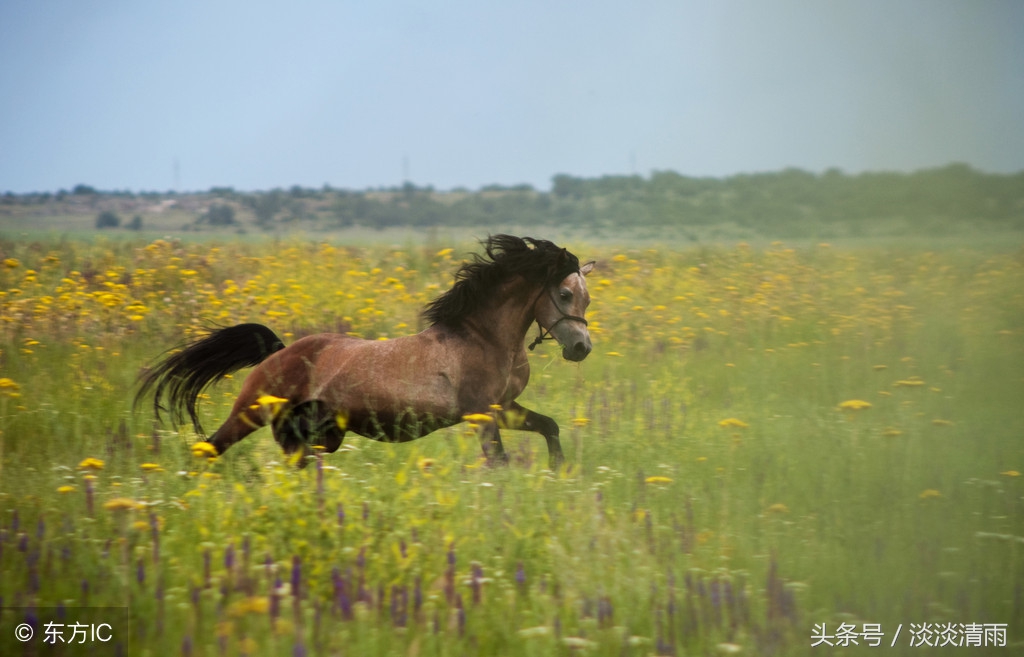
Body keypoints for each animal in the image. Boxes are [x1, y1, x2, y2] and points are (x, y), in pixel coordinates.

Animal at [140, 234, 598, 466]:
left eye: (587, 298)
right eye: (563, 294)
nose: (581, 347)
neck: (482, 338)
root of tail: (278, 352)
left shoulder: (504, 408)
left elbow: (550, 427)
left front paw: (560, 471)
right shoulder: (481, 413)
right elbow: (499, 461)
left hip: (319, 435)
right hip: (251, 412)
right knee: (209, 447)